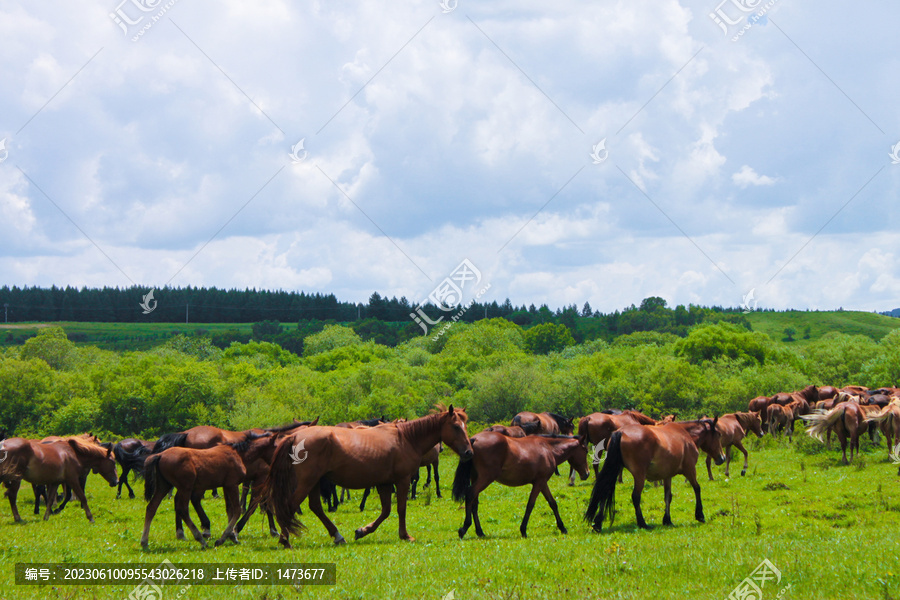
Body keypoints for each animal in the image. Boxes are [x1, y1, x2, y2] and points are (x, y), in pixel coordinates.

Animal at [258, 404, 474, 548]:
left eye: (465, 425)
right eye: (456, 426)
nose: (469, 452)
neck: (406, 438)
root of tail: (295, 436)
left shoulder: (384, 483)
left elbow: (386, 511)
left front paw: (362, 531)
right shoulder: (402, 481)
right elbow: (401, 509)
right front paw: (405, 535)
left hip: (314, 483)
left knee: (315, 507)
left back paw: (337, 536)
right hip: (307, 482)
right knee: (289, 506)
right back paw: (285, 539)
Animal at [454, 432, 596, 540]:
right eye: (585, 450)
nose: (587, 473)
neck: (548, 449)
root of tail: (474, 440)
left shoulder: (543, 483)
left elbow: (552, 503)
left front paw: (562, 527)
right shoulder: (539, 483)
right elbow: (530, 505)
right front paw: (523, 530)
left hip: (476, 478)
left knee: (474, 503)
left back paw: (480, 532)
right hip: (486, 478)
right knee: (470, 494)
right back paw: (464, 528)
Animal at [584, 420, 724, 532]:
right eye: (718, 435)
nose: (722, 458)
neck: (685, 435)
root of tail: (621, 432)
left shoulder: (667, 475)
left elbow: (668, 496)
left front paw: (667, 520)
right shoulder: (690, 470)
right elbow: (697, 488)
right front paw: (700, 515)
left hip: (615, 469)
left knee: (605, 490)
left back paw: (597, 524)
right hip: (639, 475)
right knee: (635, 496)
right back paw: (643, 523)